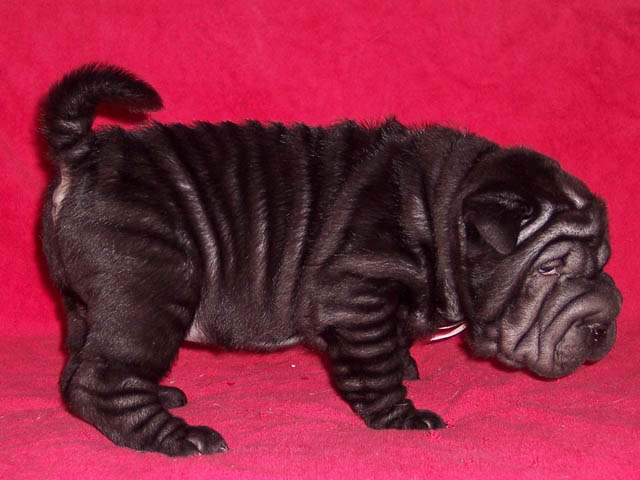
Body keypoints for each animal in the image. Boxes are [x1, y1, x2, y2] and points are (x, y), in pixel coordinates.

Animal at [40, 64, 622, 456]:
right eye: (549, 269)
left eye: (604, 260)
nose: (605, 327)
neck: (440, 210)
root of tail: (85, 154)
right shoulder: (358, 294)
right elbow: (374, 368)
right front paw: (402, 419)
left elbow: (394, 348)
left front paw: (408, 366)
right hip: (152, 288)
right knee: (101, 379)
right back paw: (178, 438)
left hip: (92, 304)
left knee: (82, 360)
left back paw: (159, 394)